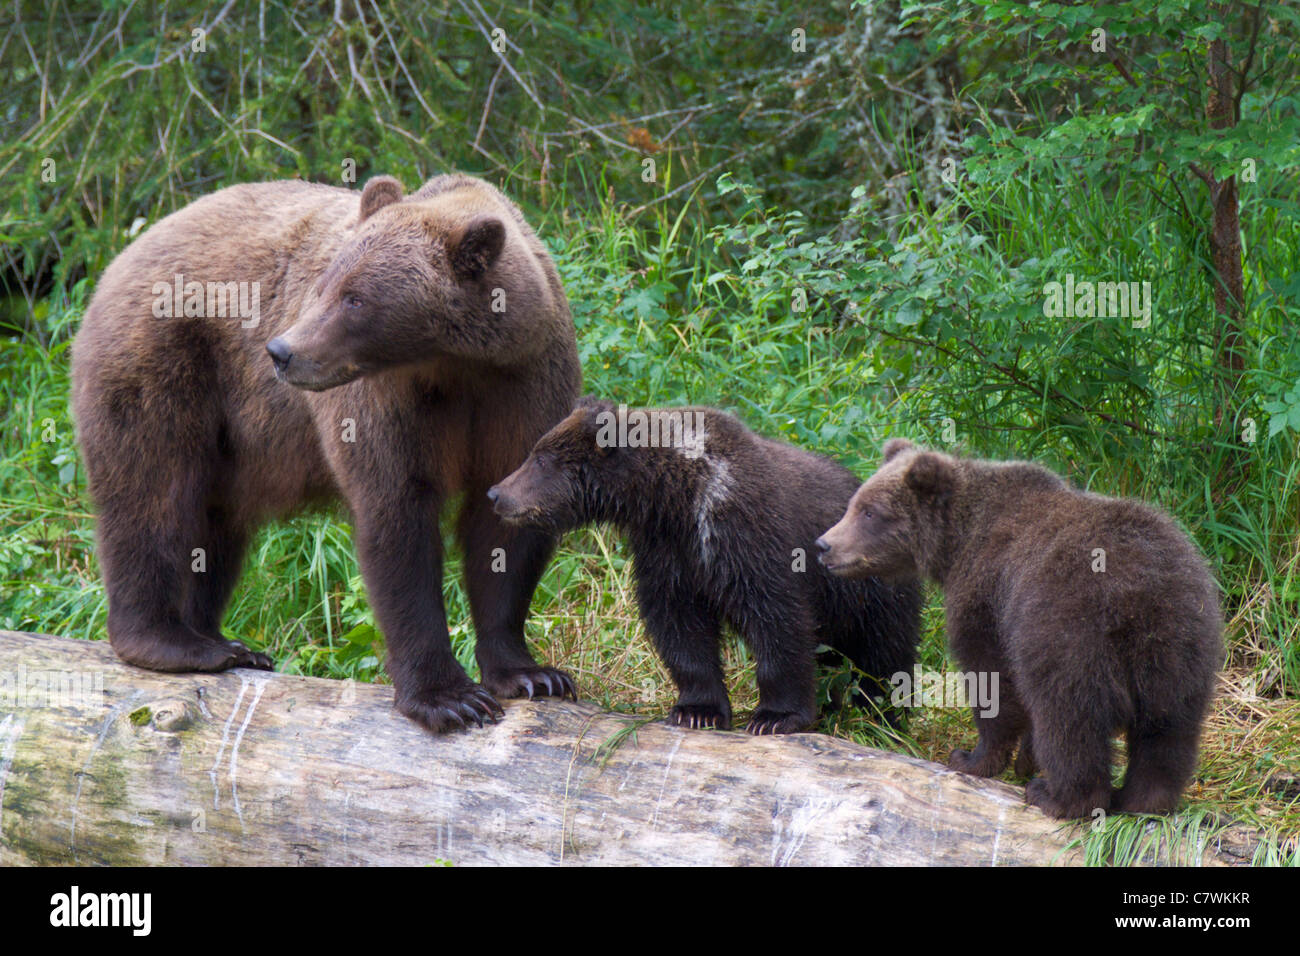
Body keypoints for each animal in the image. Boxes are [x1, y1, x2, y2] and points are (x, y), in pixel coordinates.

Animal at [71, 174, 579, 733]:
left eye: (355, 299)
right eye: (322, 286)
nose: (281, 351)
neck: (456, 365)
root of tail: (123, 255)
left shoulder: (525, 386)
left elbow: (507, 528)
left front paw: (531, 674)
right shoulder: (388, 403)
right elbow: (397, 519)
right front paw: (449, 698)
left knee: (213, 528)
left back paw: (221, 639)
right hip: (165, 363)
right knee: (153, 494)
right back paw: (175, 642)